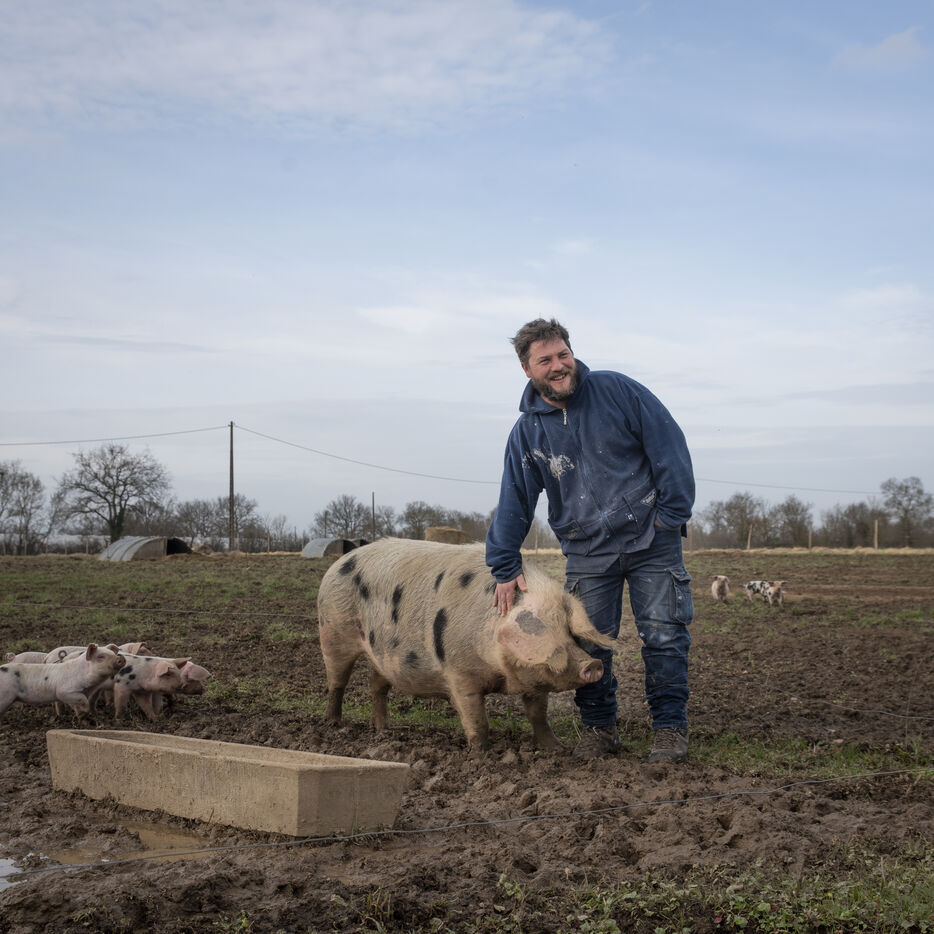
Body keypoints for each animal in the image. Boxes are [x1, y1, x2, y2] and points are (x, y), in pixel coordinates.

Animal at [317, 538, 616, 751]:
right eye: (547, 628)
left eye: (569, 631)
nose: (593, 664)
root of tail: (340, 561)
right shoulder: (458, 673)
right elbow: (476, 718)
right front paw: (482, 755)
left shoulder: (534, 678)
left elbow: (538, 715)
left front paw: (557, 749)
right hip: (332, 632)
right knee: (337, 683)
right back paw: (333, 724)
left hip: (380, 654)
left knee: (376, 686)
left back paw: (383, 731)